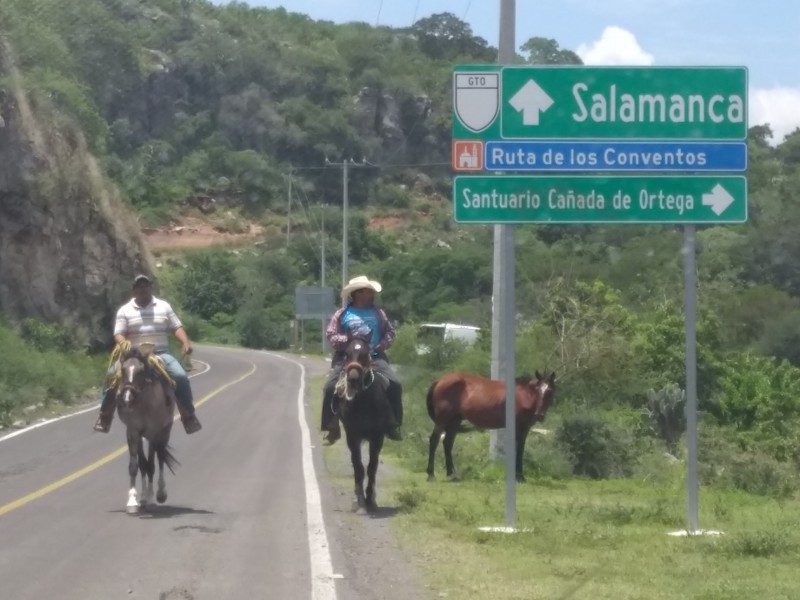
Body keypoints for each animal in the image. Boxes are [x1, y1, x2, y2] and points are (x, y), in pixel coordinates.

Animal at [115, 344, 180, 512]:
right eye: (123, 370)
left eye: (141, 371)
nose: (127, 398)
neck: (144, 404)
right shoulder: (133, 432)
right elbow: (136, 465)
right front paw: (133, 500)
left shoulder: (154, 433)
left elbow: (152, 465)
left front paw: (152, 499)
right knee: (143, 463)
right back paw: (143, 497)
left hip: (164, 432)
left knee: (161, 457)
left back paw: (159, 494)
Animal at [332, 336, 396, 512]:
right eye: (346, 354)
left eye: (366, 353)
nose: (353, 379)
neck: (363, 402)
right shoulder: (352, 436)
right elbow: (358, 467)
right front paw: (360, 501)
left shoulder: (377, 437)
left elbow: (372, 467)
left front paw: (370, 500)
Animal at [424, 370, 556, 482]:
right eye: (537, 390)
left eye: (549, 390)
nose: (539, 415)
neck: (523, 395)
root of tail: (439, 381)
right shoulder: (517, 427)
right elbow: (518, 448)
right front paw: (518, 477)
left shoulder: (525, 428)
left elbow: (521, 449)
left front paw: (520, 476)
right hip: (442, 421)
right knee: (434, 440)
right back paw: (431, 474)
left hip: (454, 422)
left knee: (447, 443)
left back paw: (452, 474)